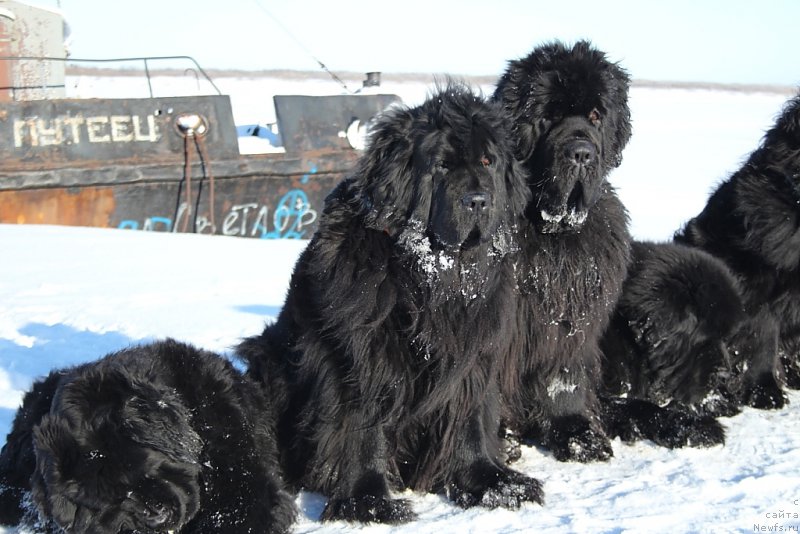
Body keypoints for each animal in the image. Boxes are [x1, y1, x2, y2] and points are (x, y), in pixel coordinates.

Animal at [234, 85, 540, 528]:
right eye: (441, 166)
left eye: (488, 162)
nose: (479, 201)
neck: (434, 278)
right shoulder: (360, 354)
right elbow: (363, 425)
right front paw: (369, 500)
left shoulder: (475, 350)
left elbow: (470, 414)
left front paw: (493, 481)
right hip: (269, 357)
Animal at [494, 42, 724, 460]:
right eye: (548, 116)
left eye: (596, 115)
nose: (582, 153)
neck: (554, 234)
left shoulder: (572, 320)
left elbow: (563, 380)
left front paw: (576, 434)